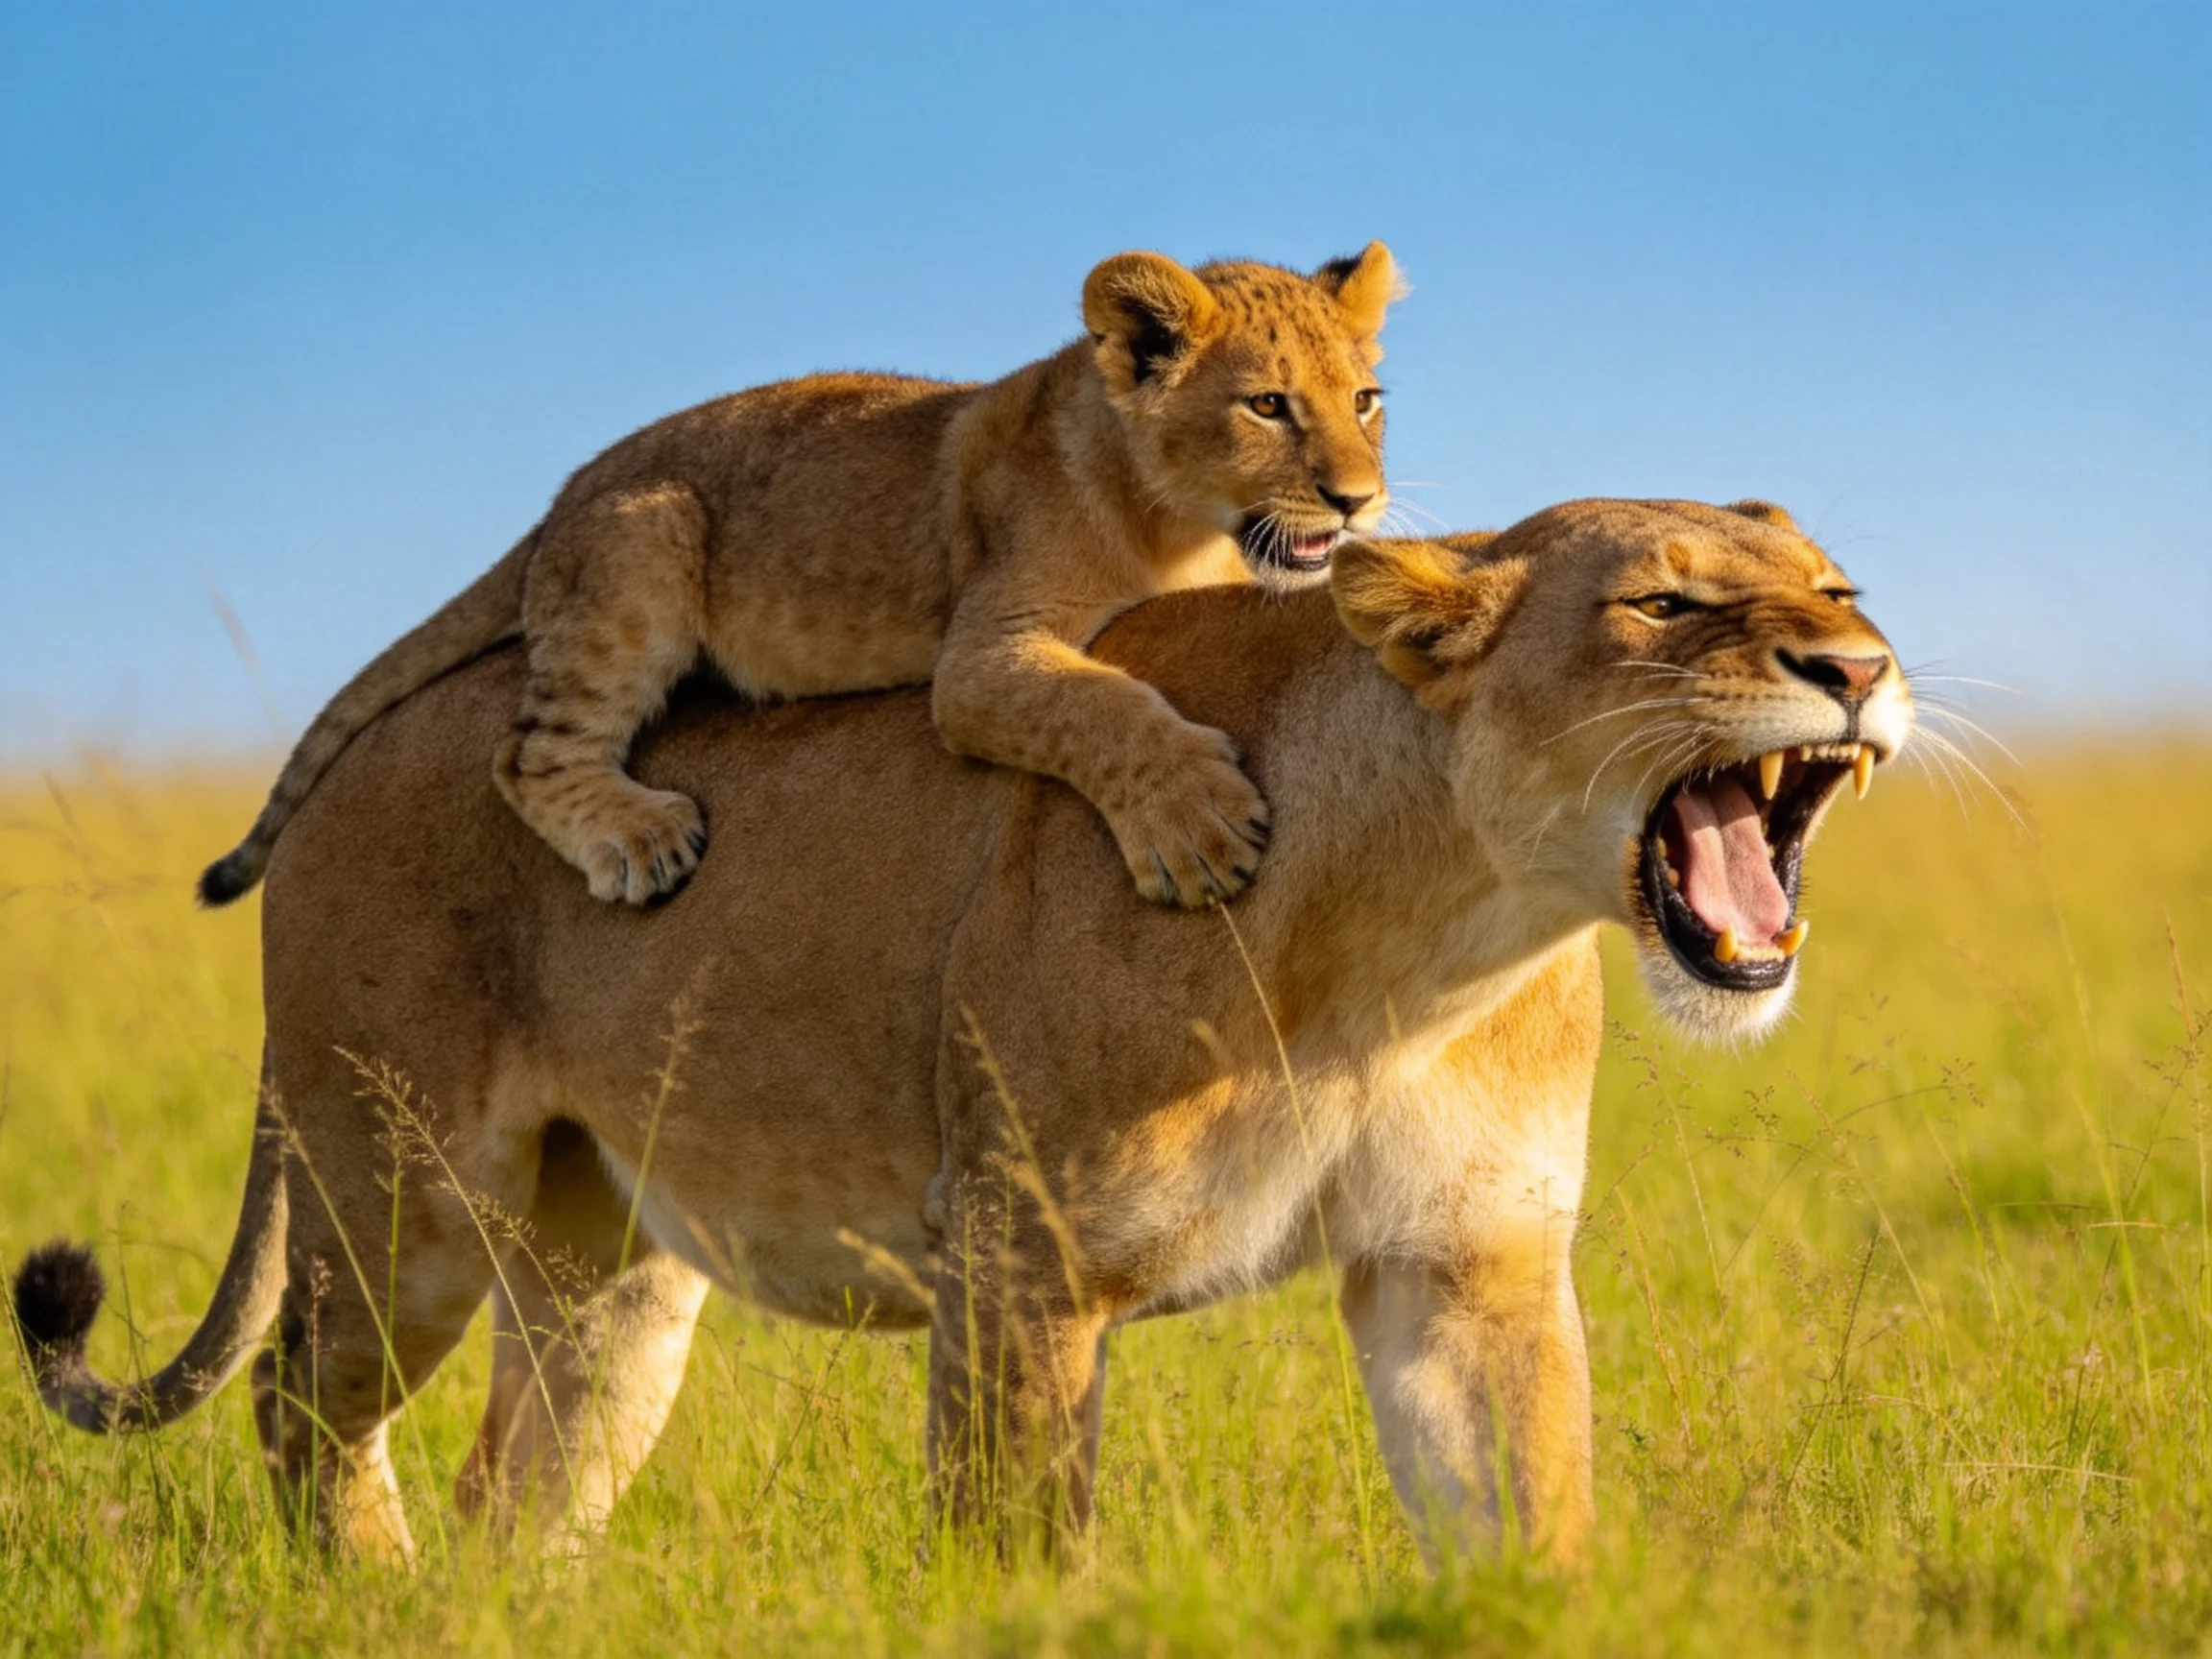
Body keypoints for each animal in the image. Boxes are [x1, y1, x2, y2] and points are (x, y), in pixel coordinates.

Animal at [15, 498, 1911, 1565]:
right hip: (401, 1195)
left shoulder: (1467, 1267)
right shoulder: (1022, 1261)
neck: (1425, 937)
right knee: (299, 1411)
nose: (1859, 665)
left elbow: (1527, 1530)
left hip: (607, 1267)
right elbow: (1015, 1561)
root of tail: (361, 736)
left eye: (1838, 585)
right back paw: (373, 1597)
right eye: (1662, 605)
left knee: (518, 1491)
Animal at [194, 244, 1400, 914]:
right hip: (648, 537)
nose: (1357, 501)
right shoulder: (980, 654)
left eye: (1366, 400)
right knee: (528, 753)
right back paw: (639, 840)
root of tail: (562, 497)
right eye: (1268, 406)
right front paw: (1198, 831)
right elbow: (1097, 704)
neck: (1182, 525)